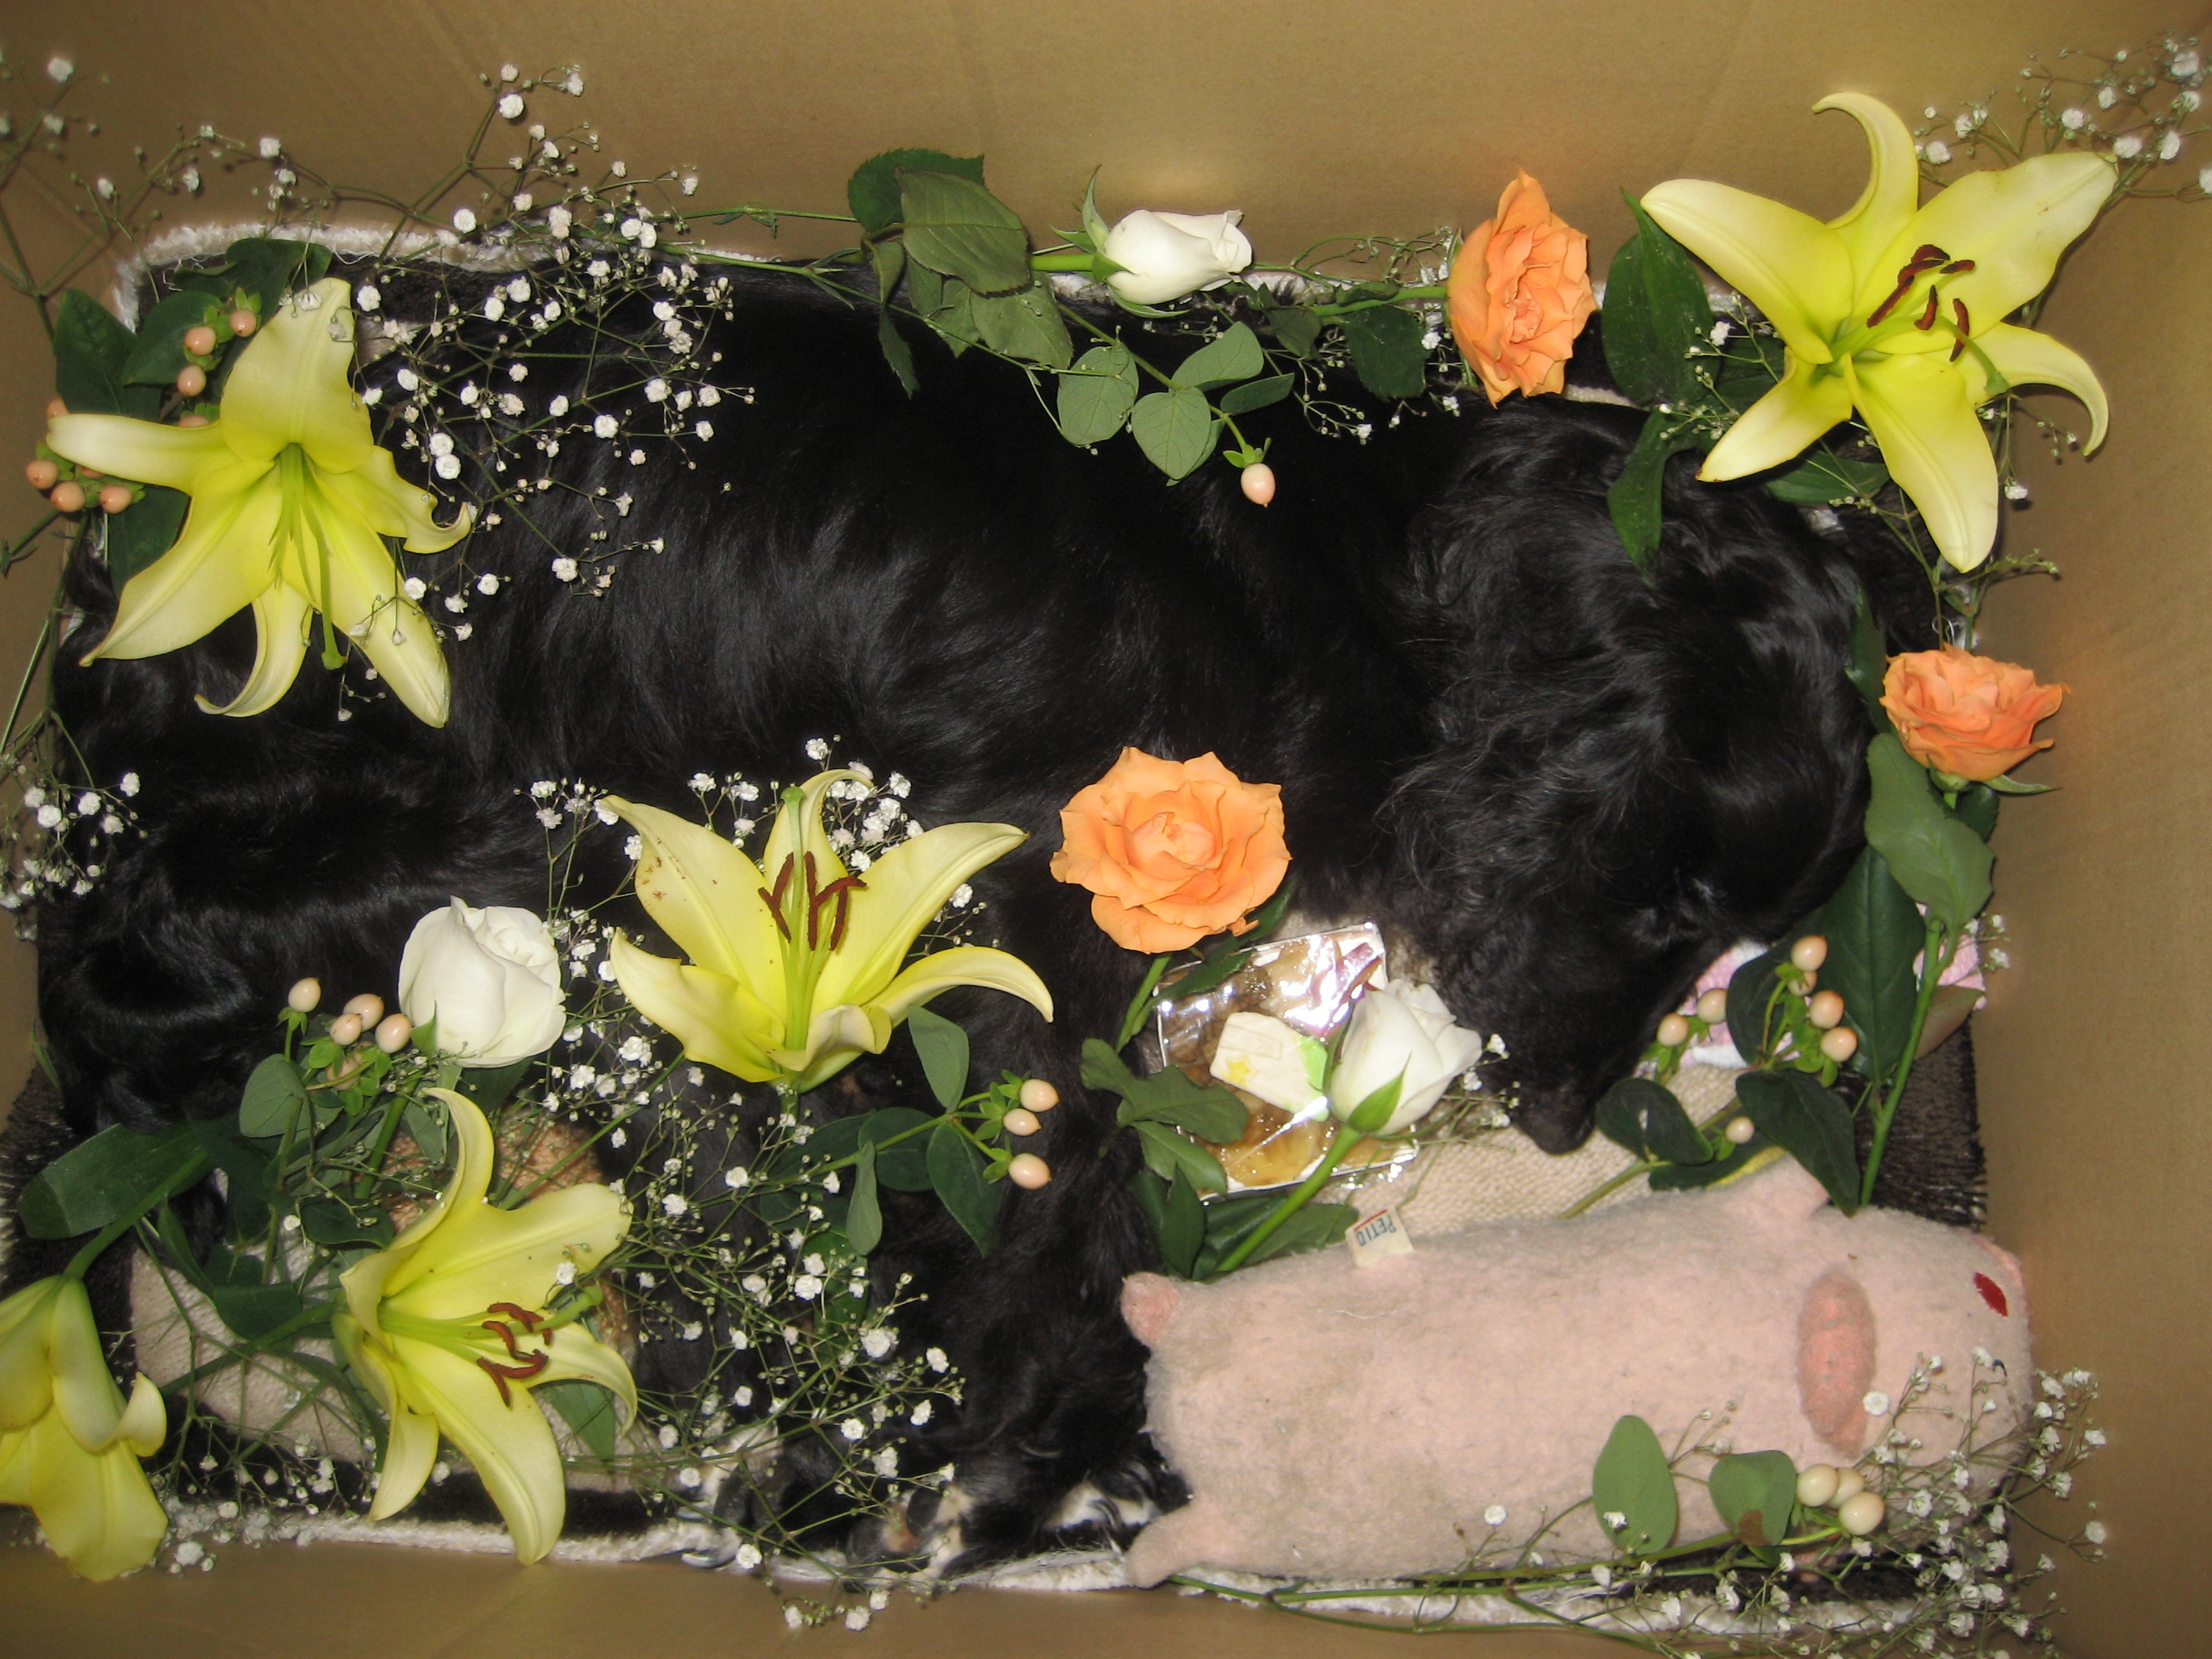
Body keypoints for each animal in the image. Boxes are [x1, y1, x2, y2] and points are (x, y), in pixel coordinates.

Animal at [20, 261, 1928, 1563]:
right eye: (1677, 891)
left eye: (1715, 937)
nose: (1552, 1120)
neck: (1369, 544)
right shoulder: (1021, 878)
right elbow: (1059, 1175)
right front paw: (977, 1441)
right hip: (509, 828)